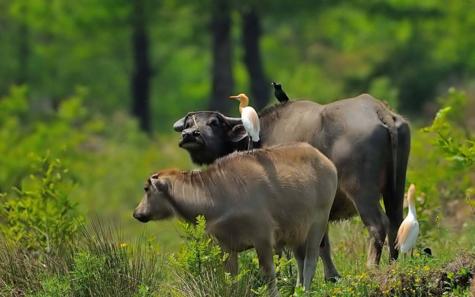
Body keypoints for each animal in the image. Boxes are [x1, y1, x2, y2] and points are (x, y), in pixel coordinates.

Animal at [134, 143, 338, 294]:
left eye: (146, 188)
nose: (137, 213)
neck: (219, 195)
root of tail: (324, 160)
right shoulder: (226, 247)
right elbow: (230, 278)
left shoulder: (262, 239)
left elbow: (268, 274)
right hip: (297, 232)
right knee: (300, 259)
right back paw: (298, 290)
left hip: (318, 224)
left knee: (311, 259)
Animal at [173, 93, 410, 278]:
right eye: (188, 124)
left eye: (214, 122)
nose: (190, 135)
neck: (258, 138)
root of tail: (379, 111)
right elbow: (321, 244)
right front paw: (331, 276)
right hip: (395, 188)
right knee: (396, 222)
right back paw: (393, 265)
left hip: (362, 192)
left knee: (378, 225)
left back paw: (371, 268)